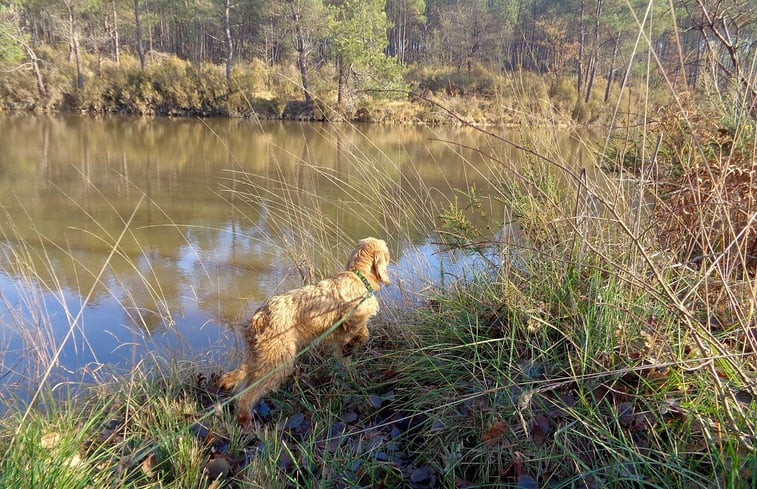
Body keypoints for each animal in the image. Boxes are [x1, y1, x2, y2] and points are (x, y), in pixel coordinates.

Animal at [217, 238, 384, 414]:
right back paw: (245, 417)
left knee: (241, 377)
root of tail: (259, 318)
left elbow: (346, 356)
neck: (358, 277)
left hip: (260, 358)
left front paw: (351, 371)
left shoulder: (340, 336)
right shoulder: (354, 320)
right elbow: (364, 334)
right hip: (277, 361)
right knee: (246, 397)